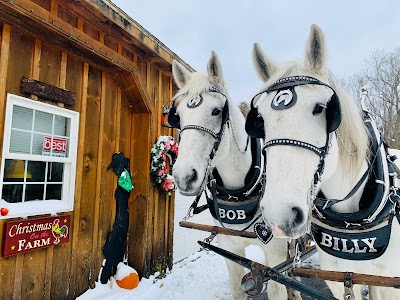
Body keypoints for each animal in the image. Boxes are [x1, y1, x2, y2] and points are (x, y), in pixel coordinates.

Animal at [170, 52, 298, 300]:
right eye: (178, 116)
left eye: (216, 111)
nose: (184, 176)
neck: (239, 192)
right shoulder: (229, 250)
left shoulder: (274, 253)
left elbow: (279, 284)